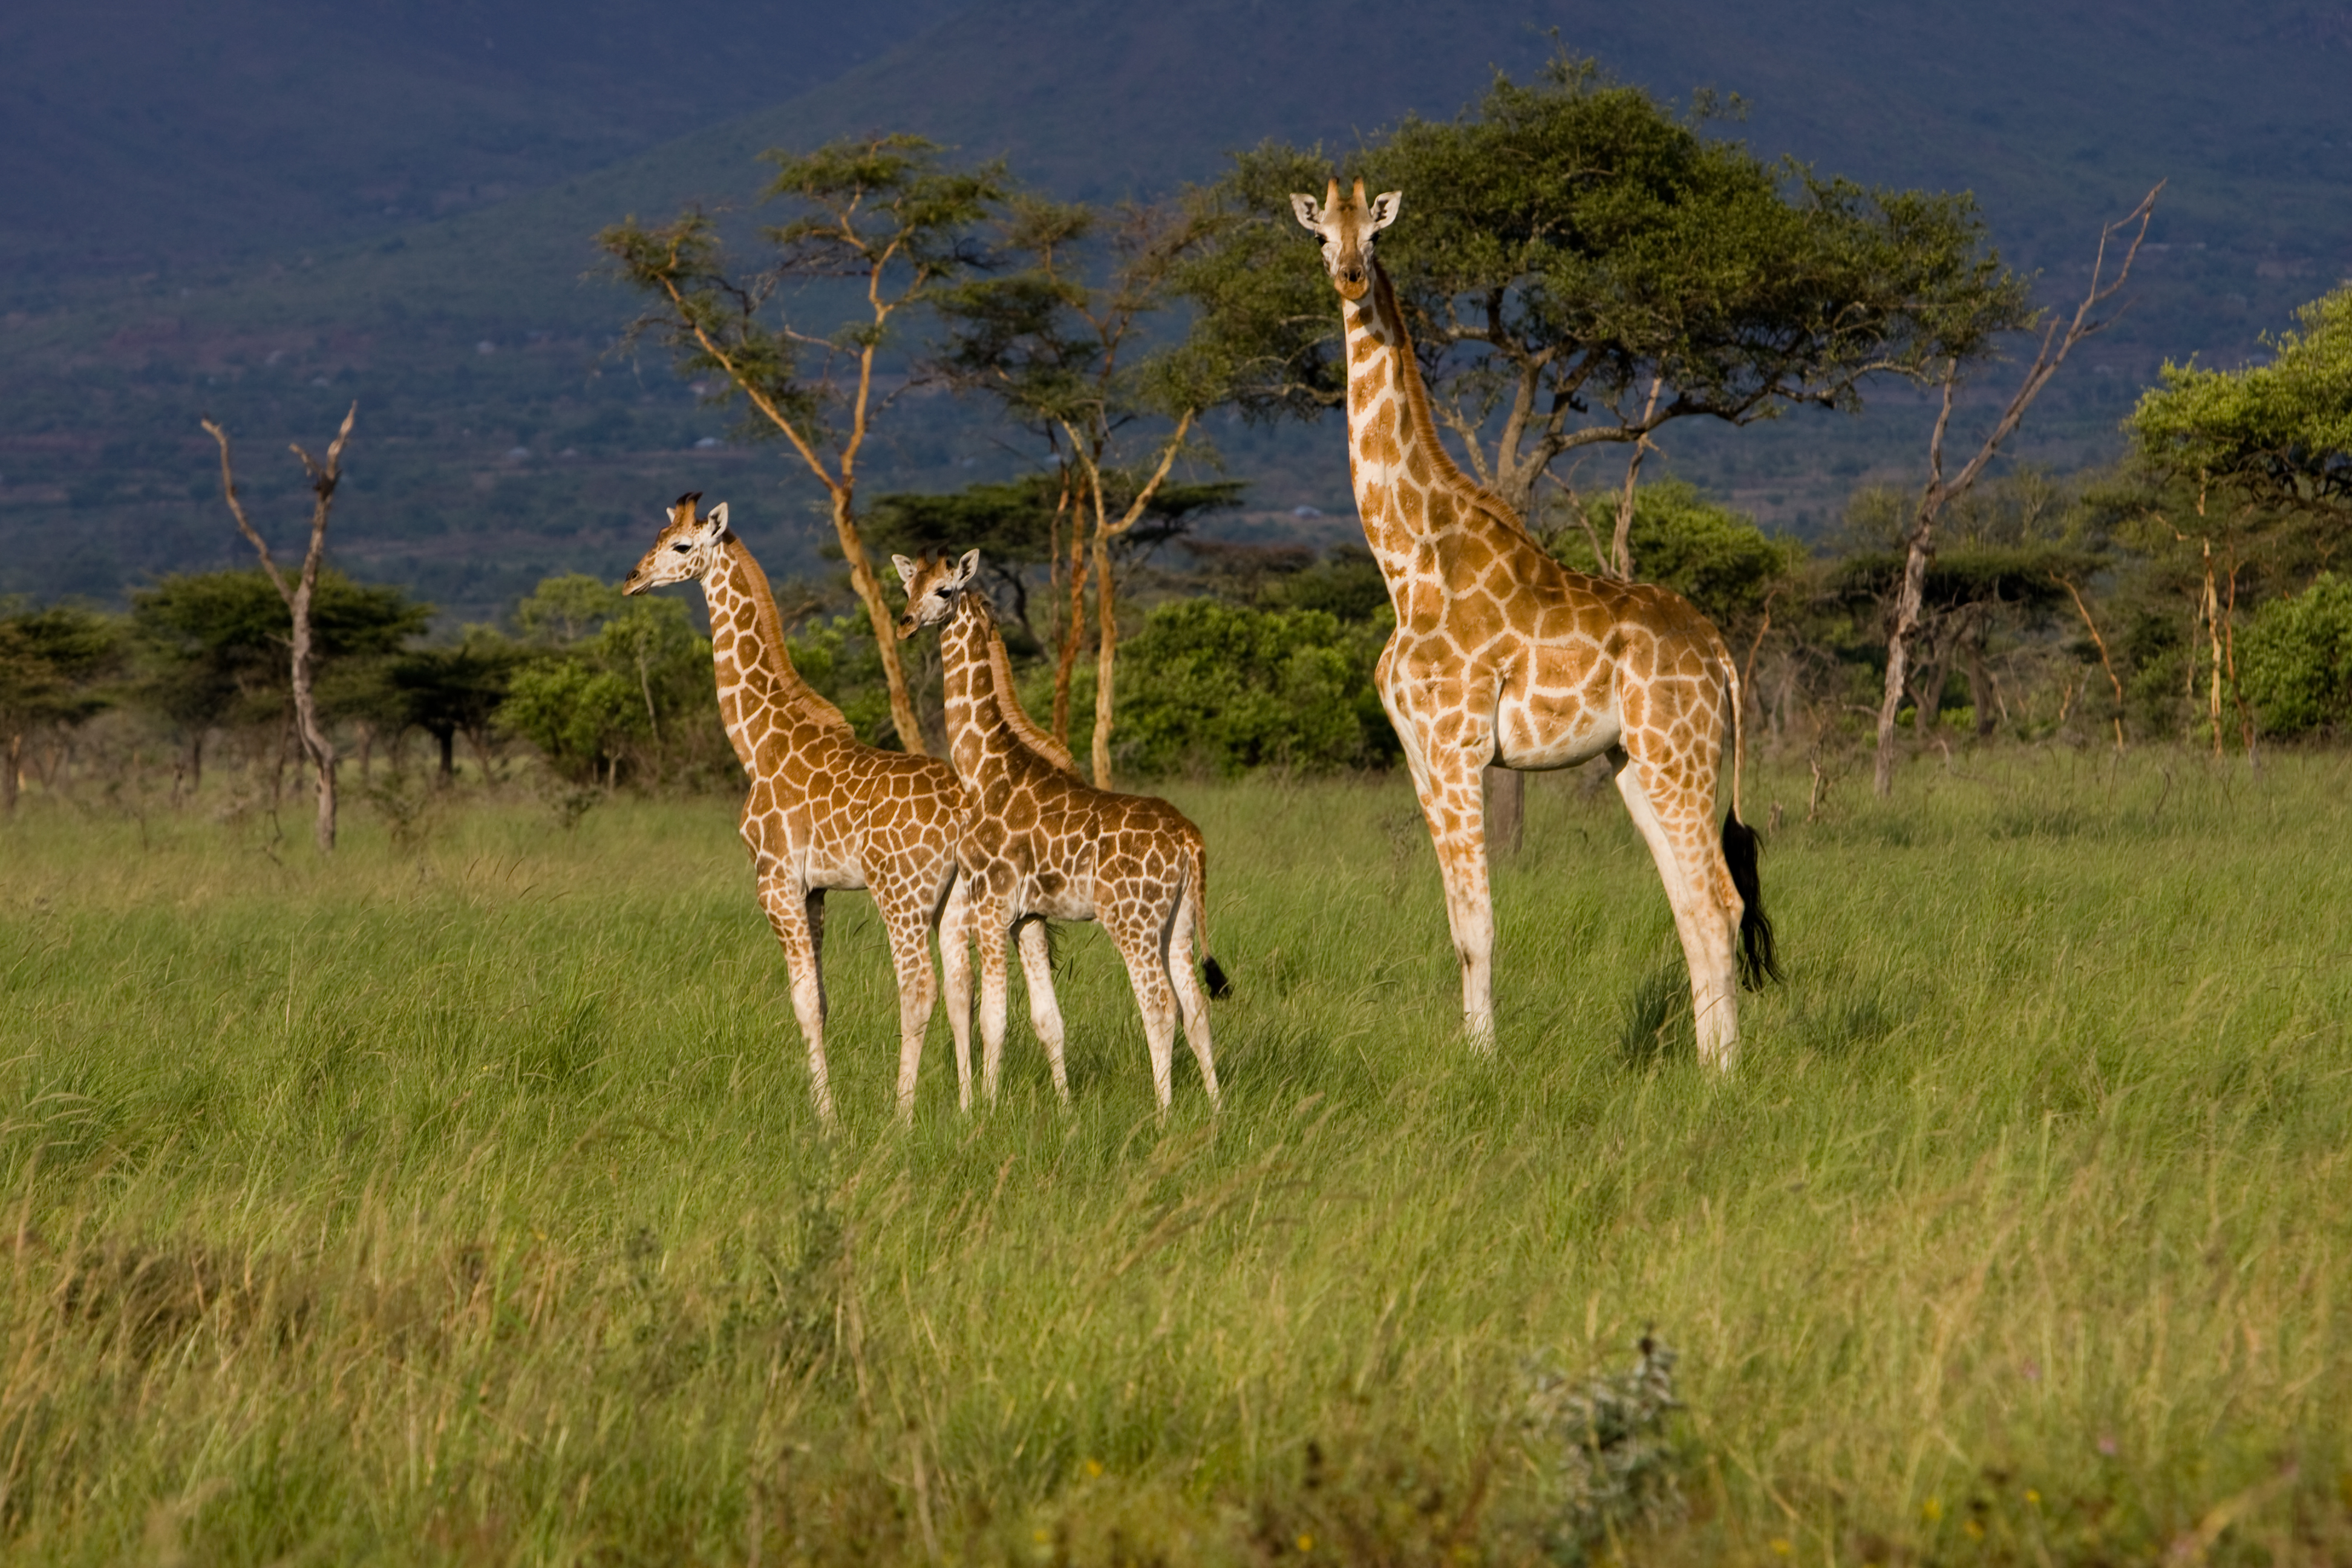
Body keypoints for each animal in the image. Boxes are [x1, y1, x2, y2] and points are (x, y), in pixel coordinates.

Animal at [623, 493, 1000, 1124]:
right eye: (654, 536)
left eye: (680, 545)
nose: (633, 578)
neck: (757, 742)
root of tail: (964, 810)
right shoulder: (815, 888)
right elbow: (821, 1000)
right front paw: (829, 1107)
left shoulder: (774, 880)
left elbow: (802, 1000)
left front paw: (827, 1120)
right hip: (956, 897)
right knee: (961, 987)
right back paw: (968, 1110)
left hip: (901, 894)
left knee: (918, 988)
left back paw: (901, 1117)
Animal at [894, 550, 1226, 1111]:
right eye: (907, 587)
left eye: (944, 590)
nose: (905, 623)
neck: (984, 769)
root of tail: (1190, 840)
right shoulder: (1028, 917)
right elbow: (1048, 1019)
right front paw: (1066, 1108)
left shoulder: (992, 904)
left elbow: (994, 1019)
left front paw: (986, 1111)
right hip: (1177, 921)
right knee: (1197, 1008)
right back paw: (1217, 1110)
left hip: (1131, 920)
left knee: (1161, 1006)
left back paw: (1163, 1114)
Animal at [1290, 179, 1778, 1070]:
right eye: (1319, 239)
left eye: (1374, 238)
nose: (1348, 277)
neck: (1409, 565)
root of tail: (1720, 650)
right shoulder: (1420, 758)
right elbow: (1456, 922)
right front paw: (1472, 1052)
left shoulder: (1458, 747)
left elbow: (1479, 926)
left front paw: (1482, 1064)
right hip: (1635, 763)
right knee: (1692, 907)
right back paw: (1704, 1066)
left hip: (1679, 753)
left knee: (1720, 902)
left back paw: (1726, 1072)